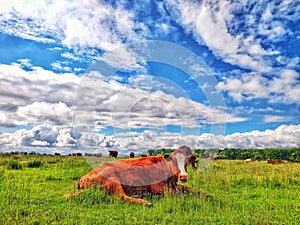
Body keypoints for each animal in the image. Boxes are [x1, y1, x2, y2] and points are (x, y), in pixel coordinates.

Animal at [67, 146, 210, 206]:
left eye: (186, 163)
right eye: (174, 162)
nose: (183, 177)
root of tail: (82, 178)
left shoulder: (175, 185)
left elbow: (190, 189)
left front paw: (207, 194)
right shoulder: (159, 188)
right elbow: (179, 195)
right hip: (113, 181)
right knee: (121, 196)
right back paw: (145, 202)